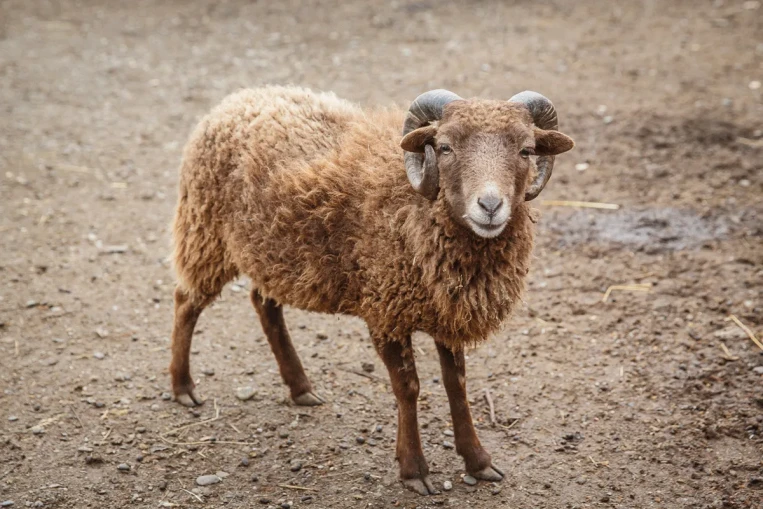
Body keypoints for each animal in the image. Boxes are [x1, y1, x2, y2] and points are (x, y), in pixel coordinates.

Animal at [169, 85, 574, 495]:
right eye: (445, 147)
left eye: (526, 150)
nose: (490, 205)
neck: (416, 204)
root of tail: (241, 97)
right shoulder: (385, 312)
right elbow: (408, 388)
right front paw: (414, 469)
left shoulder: (444, 312)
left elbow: (456, 386)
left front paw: (478, 461)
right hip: (204, 231)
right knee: (186, 302)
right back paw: (183, 386)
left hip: (272, 256)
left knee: (263, 305)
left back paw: (300, 388)